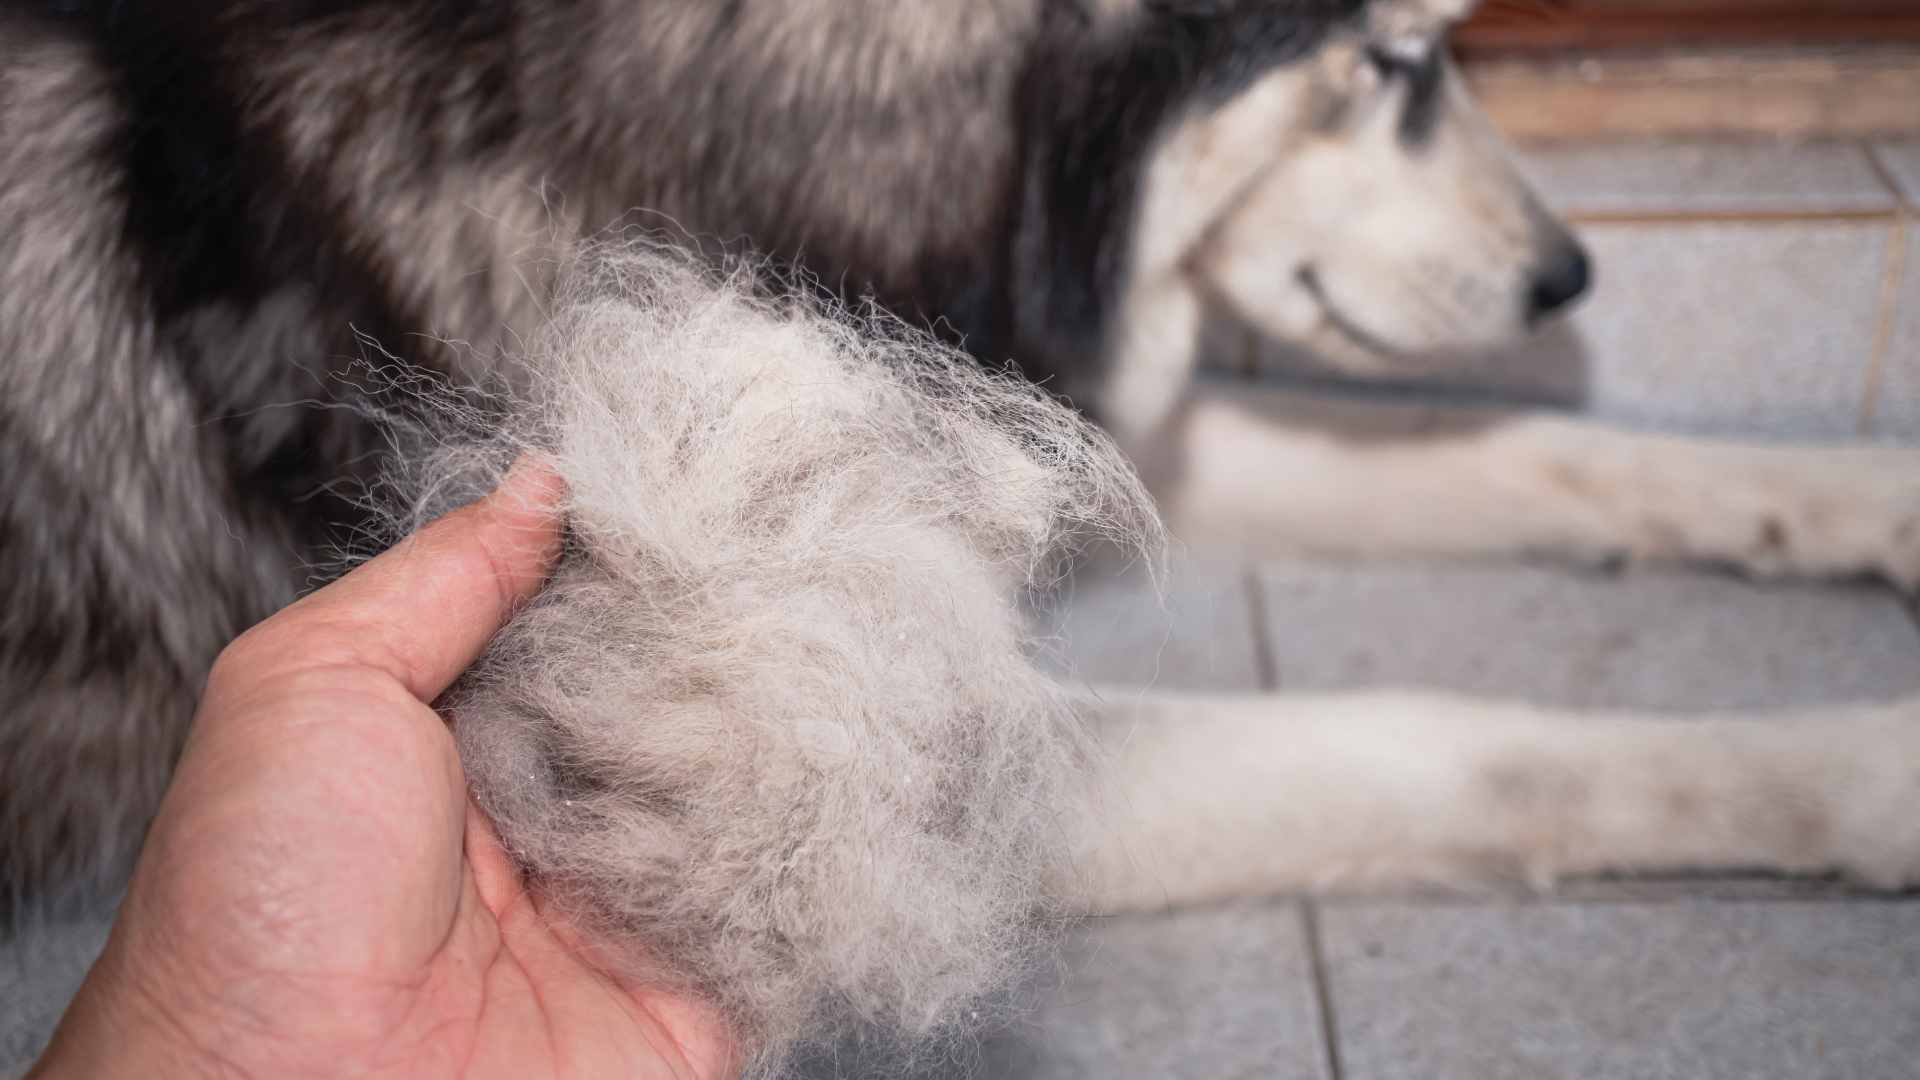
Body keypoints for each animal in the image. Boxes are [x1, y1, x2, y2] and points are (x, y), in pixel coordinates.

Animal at [3, 0, 1920, 926]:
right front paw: (1857, 772)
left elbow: (1523, 452)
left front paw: (1864, 505)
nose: (1570, 277)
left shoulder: (1025, 418)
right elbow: (1450, 748)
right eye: (1386, 60)